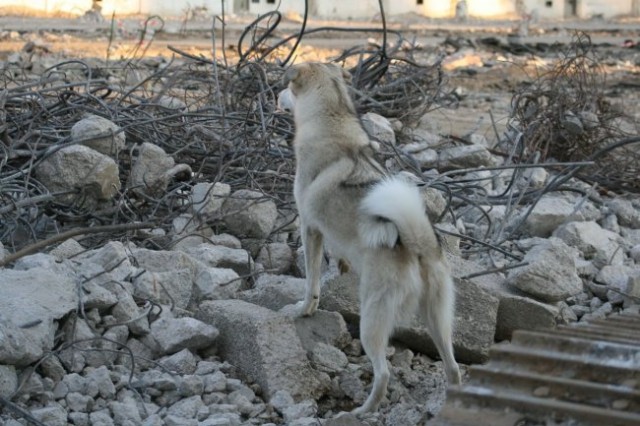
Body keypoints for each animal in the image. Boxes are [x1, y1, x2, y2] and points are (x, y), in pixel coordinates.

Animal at [284, 62, 460, 412]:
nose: (278, 93)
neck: (333, 117)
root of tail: (418, 244)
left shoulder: (310, 230)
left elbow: (311, 283)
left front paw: (303, 310)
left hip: (372, 321)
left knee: (383, 374)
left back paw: (362, 411)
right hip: (437, 320)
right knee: (454, 368)